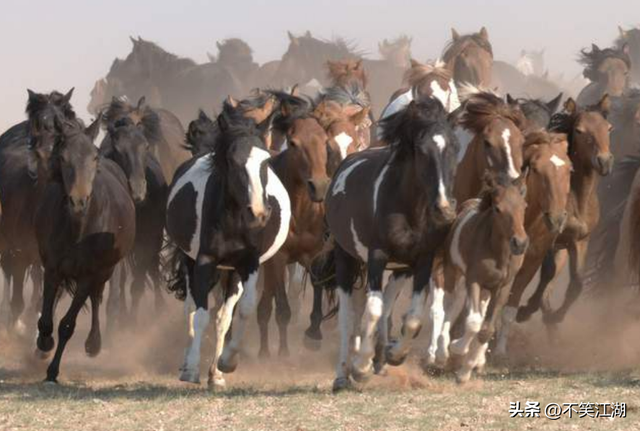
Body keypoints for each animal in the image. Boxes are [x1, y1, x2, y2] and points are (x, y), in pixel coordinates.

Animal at [34, 117, 136, 382]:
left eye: (94, 157)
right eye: (62, 157)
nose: (79, 201)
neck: (79, 229)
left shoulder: (89, 274)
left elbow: (67, 325)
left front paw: (52, 371)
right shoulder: (52, 268)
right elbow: (47, 319)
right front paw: (44, 343)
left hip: (106, 270)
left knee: (97, 297)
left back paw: (93, 343)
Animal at [324, 97, 460, 392]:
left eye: (454, 146)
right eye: (421, 150)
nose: (444, 210)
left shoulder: (422, 260)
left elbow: (413, 317)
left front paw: (394, 354)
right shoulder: (376, 256)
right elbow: (372, 312)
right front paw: (360, 367)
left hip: (399, 268)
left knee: (386, 304)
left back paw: (380, 357)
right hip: (346, 257)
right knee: (349, 316)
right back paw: (343, 373)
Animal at [512, 96, 612, 328]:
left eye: (609, 128)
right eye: (580, 130)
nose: (604, 161)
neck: (577, 199)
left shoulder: (579, 241)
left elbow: (577, 282)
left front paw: (556, 315)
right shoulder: (551, 238)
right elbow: (548, 272)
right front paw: (526, 310)